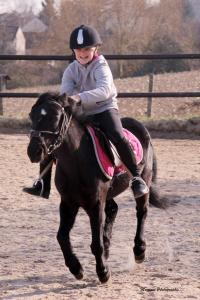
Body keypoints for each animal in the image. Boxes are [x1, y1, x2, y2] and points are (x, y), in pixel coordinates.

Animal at [27, 92, 164, 282]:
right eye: (31, 116)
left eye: (54, 116)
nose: (34, 151)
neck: (77, 160)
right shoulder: (68, 202)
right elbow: (61, 236)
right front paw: (76, 268)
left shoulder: (95, 203)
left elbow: (95, 243)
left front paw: (103, 272)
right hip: (108, 193)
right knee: (113, 209)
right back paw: (108, 249)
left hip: (144, 180)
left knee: (141, 212)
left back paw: (139, 251)